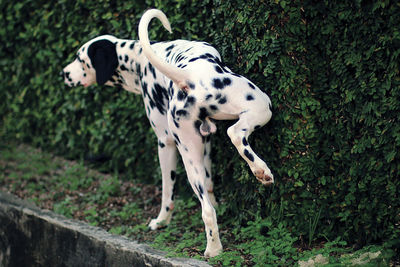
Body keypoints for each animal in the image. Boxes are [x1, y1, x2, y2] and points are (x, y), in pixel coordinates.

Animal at [61, 8, 276, 258]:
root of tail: (188, 76)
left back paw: (213, 248)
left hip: (195, 154)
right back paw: (261, 172)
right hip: (260, 106)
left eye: (80, 59)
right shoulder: (167, 142)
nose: (63, 73)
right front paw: (162, 220)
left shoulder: (203, 142)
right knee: (235, 133)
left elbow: (207, 185)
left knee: (207, 209)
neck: (139, 59)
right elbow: (168, 192)